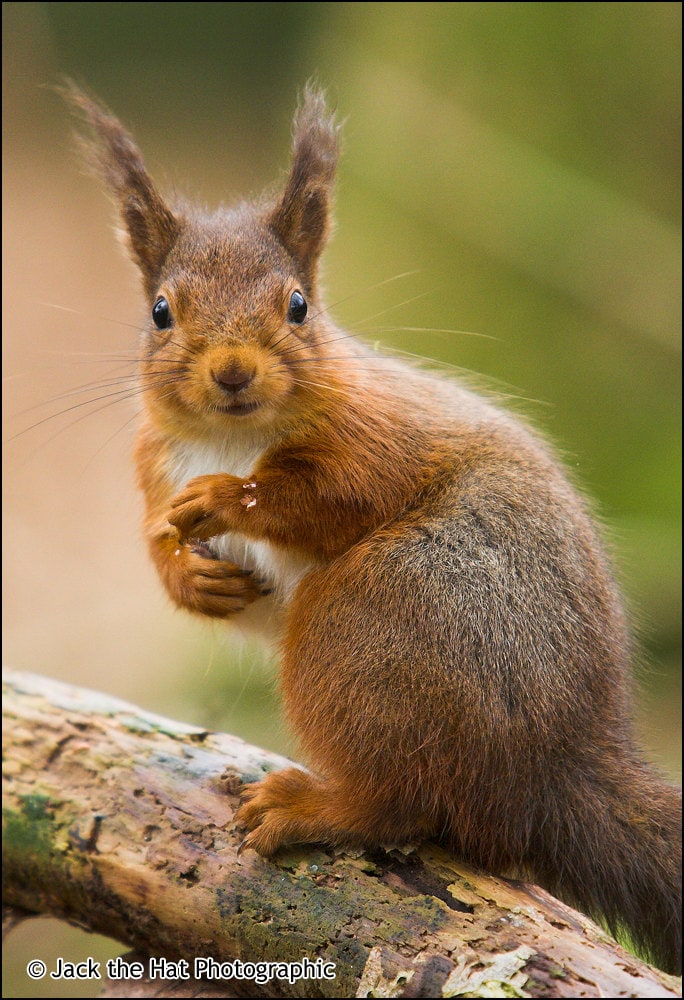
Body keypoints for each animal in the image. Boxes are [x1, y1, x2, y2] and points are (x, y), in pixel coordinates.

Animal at [67, 83, 681, 974]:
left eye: (298, 306)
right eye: (159, 312)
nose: (232, 371)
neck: (230, 437)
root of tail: (556, 774)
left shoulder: (378, 437)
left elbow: (329, 497)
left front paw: (228, 498)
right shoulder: (155, 466)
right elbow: (159, 538)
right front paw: (191, 573)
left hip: (375, 619)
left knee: (403, 804)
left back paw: (312, 806)